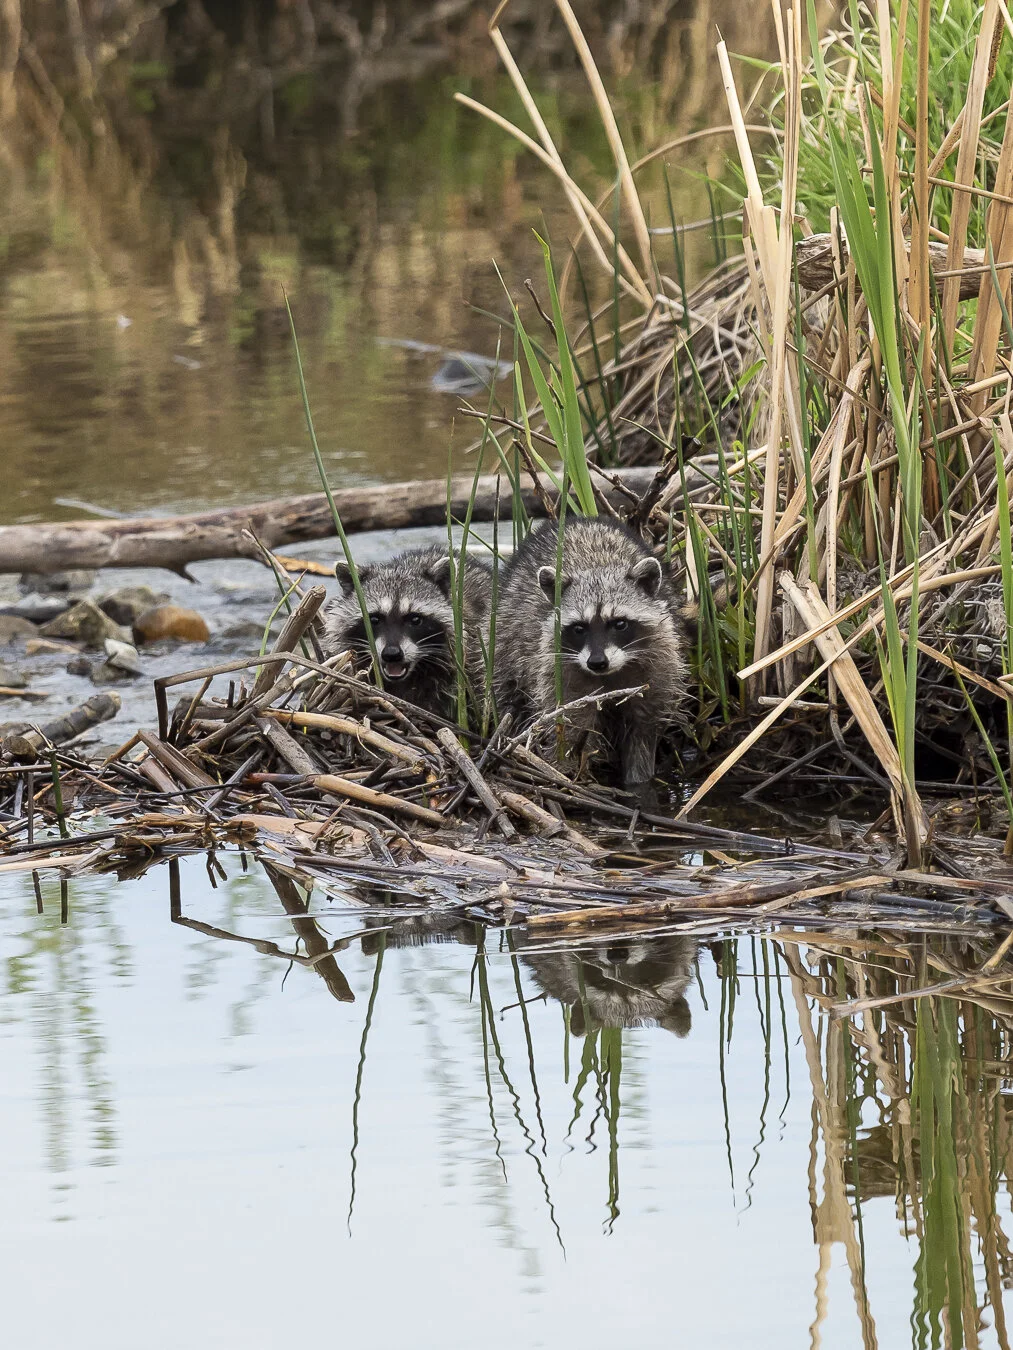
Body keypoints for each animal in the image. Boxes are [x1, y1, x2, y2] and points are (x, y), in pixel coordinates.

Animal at [494, 516, 688, 784]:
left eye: (619, 624)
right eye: (579, 628)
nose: (597, 662)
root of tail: (578, 520)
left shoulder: (659, 666)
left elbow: (642, 733)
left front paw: (638, 781)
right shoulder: (557, 673)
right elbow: (568, 728)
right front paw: (564, 768)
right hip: (504, 636)